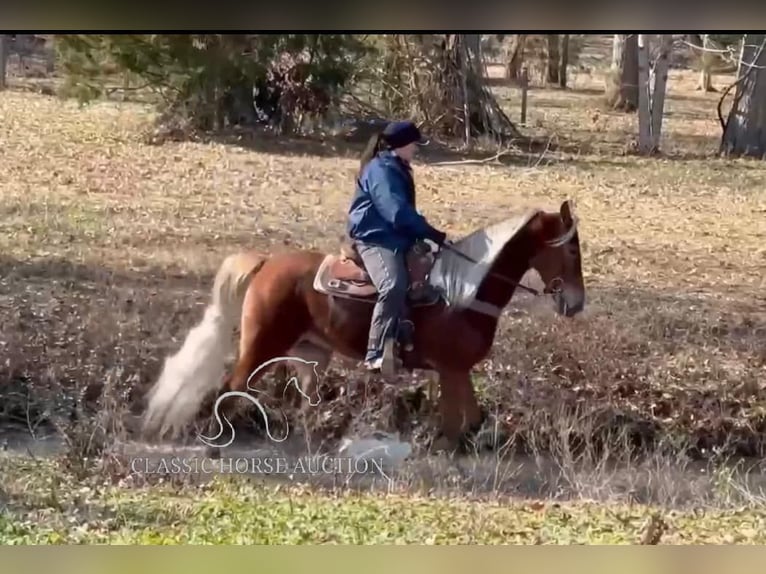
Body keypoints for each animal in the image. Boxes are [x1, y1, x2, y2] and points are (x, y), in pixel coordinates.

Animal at [142, 200, 588, 452]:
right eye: (571, 248)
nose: (576, 302)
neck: (460, 291)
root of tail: (266, 262)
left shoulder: (457, 372)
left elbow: (472, 421)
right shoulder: (451, 370)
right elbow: (453, 425)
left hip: (310, 356)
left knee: (304, 404)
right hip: (261, 348)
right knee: (231, 388)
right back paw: (217, 442)